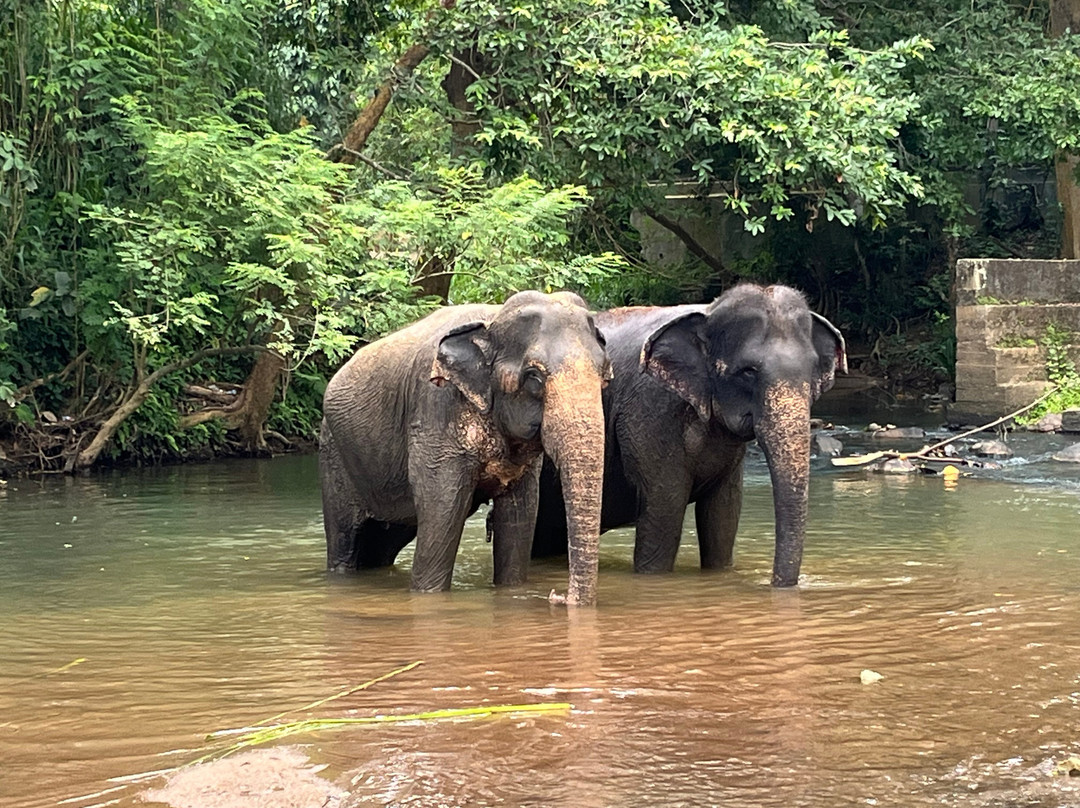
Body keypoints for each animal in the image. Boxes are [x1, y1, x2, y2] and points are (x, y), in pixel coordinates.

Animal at [319, 290, 611, 605]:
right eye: (534, 377)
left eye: (604, 376)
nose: (556, 596)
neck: (493, 319)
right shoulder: (435, 408)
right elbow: (443, 507)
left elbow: (520, 513)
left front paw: (513, 591)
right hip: (333, 453)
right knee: (345, 540)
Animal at [533, 283, 846, 586]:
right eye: (748, 372)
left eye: (812, 370)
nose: (775, 583)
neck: (709, 310)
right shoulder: (650, 415)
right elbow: (664, 514)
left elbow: (723, 517)